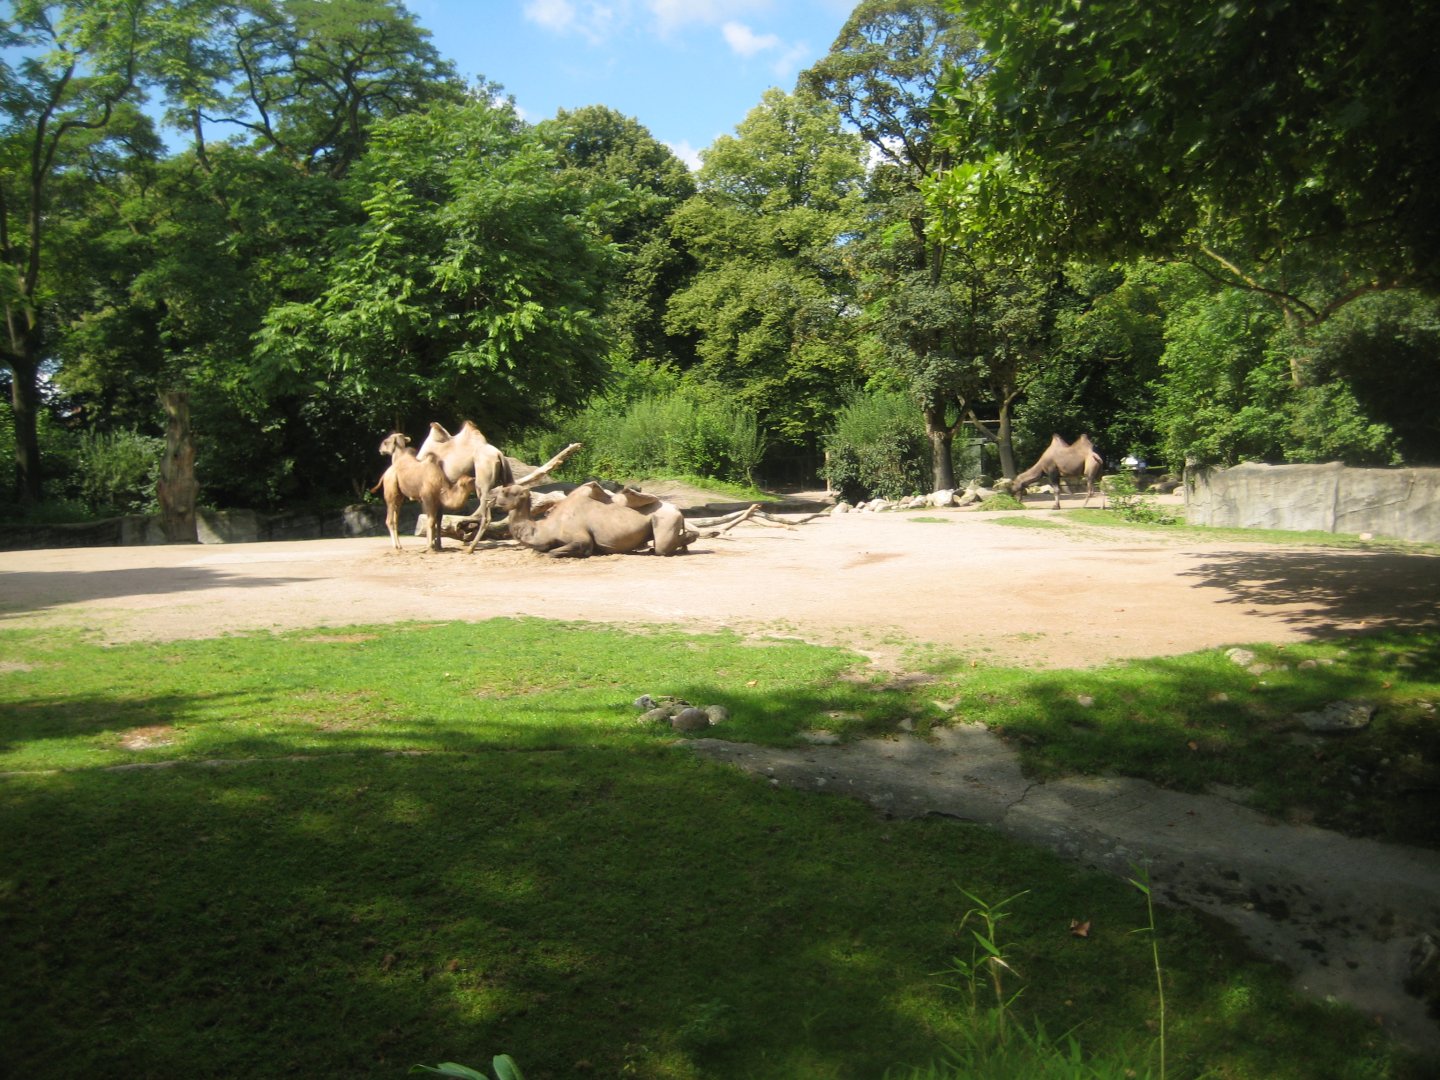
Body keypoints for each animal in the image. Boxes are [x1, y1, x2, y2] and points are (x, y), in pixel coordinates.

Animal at [415, 420, 514, 550]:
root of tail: (499, 455)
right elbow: (438, 517)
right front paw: (438, 545)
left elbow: (433, 516)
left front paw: (432, 546)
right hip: (504, 480)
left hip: (482, 484)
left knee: (486, 514)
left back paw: (470, 548)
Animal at [490, 481, 698, 558]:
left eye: (507, 492)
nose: (495, 503)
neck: (547, 528)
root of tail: (677, 509)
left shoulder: (580, 537)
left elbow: (554, 552)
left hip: (665, 519)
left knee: (665, 546)